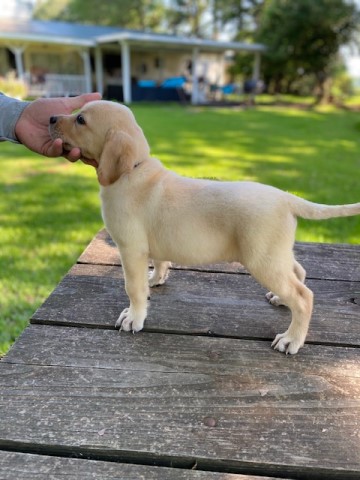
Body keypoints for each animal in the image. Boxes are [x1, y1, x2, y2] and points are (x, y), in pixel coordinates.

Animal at [48, 101, 360, 354]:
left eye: (80, 120)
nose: (50, 117)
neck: (134, 169)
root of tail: (285, 197)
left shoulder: (130, 248)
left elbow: (132, 287)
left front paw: (134, 317)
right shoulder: (150, 245)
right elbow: (159, 262)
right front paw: (155, 280)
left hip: (263, 259)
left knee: (304, 296)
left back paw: (291, 339)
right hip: (276, 252)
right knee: (299, 272)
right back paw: (281, 301)